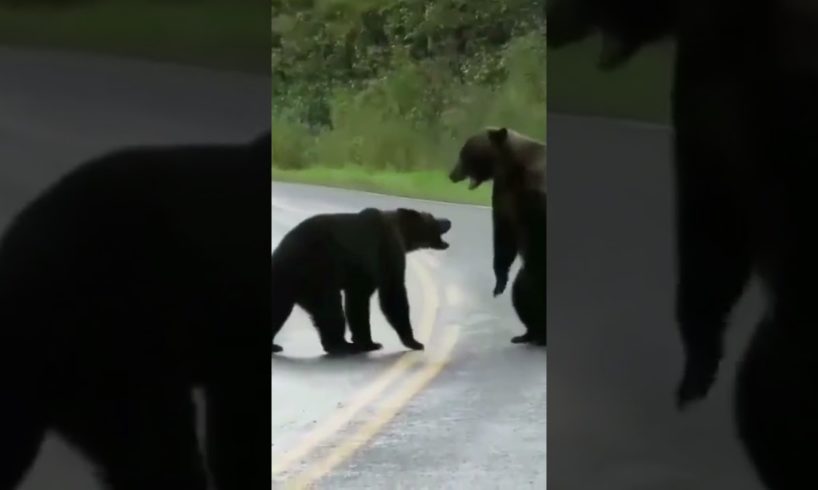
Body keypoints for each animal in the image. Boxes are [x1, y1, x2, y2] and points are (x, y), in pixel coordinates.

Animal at [271, 207, 451, 355]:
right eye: (432, 217)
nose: (448, 221)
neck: (401, 233)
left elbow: (357, 301)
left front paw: (367, 341)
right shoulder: (385, 252)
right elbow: (391, 293)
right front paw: (412, 342)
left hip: (288, 284)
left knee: (280, 309)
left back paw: (275, 345)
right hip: (316, 274)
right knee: (330, 308)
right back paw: (341, 345)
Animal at [448, 127, 546, 346]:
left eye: (464, 152)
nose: (452, 174)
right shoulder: (504, 193)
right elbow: (504, 234)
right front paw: (499, 282)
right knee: (522, 291)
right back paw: (530, 334)